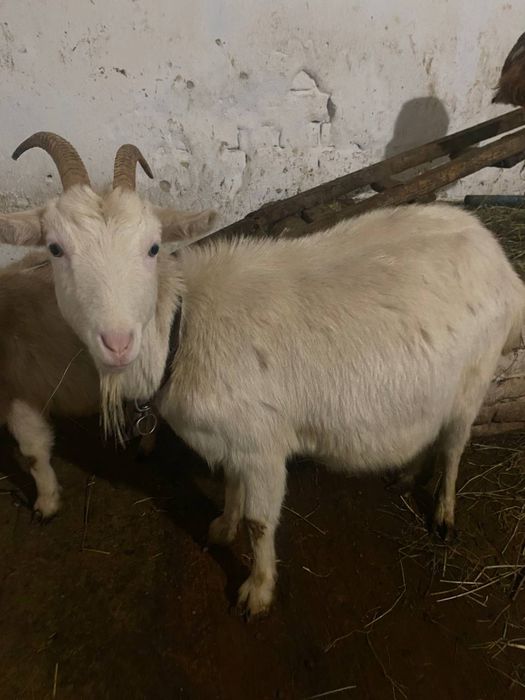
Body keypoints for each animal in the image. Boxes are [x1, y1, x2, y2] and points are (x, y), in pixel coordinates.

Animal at [2, 132, 524, 618]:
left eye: (152, 247)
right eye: (55, 249)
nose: (117, 341)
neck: (184, 327)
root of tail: (495, 253)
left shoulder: (264, 444)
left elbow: (260, 522)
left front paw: (257, 591)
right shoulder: (232, 439)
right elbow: (231, 486)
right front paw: (222, 527)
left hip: (474, 377)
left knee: (454, 445)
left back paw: (444, 515)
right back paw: (406, 475)